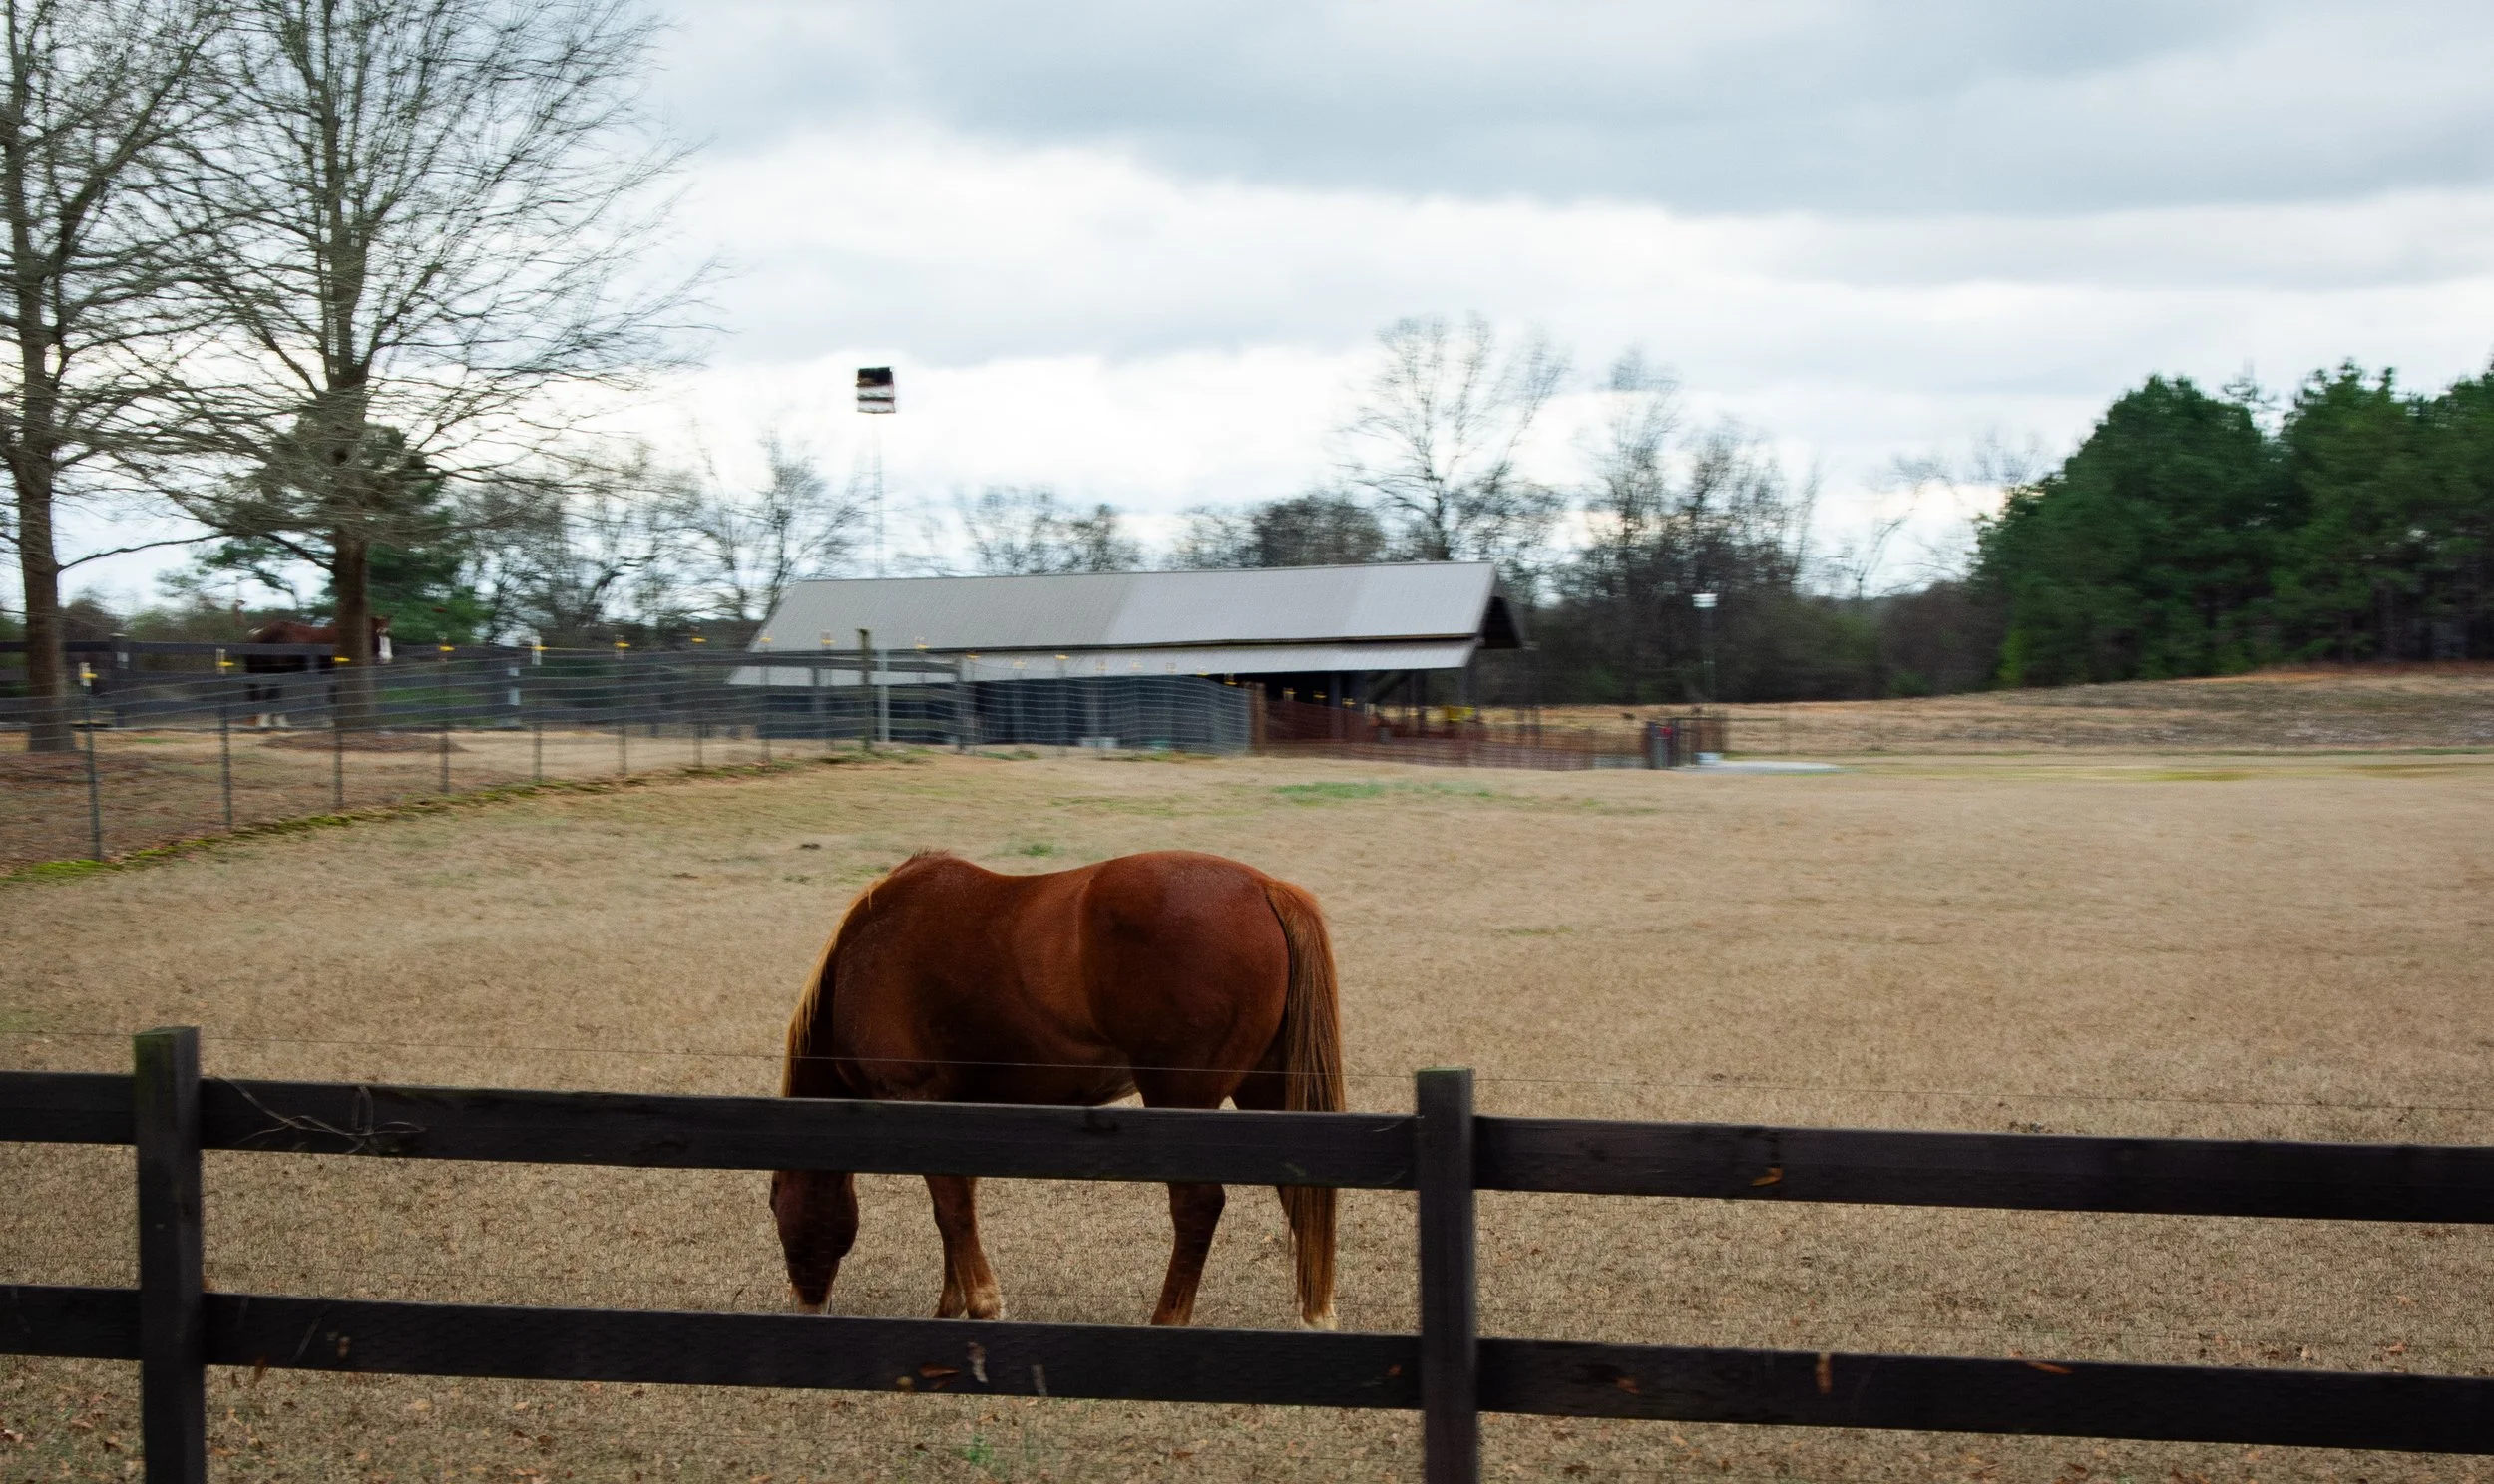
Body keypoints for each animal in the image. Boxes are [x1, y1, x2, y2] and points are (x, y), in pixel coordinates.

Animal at [241, 617, 391, 727]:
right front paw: (330, 723)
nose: (387, 658)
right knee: (269, 696)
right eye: (377, 634)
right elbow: (332, 696)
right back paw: (267, 723)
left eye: (389, 635)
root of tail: (257, 634)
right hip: (274, 673)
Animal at [771, 849, 1345, 1329]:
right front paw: (952, 1305)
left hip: (1181, 1096)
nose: (806, 1304)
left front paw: (982, 1304)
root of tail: (1265, 888)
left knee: (1197, 1205)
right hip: (1265, 1088)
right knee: (1299, 1190)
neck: (866, 948)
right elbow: (955, 1208)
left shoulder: (915, 1096)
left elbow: (951, 1207)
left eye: (777, 1207)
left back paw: (1168, 1319)